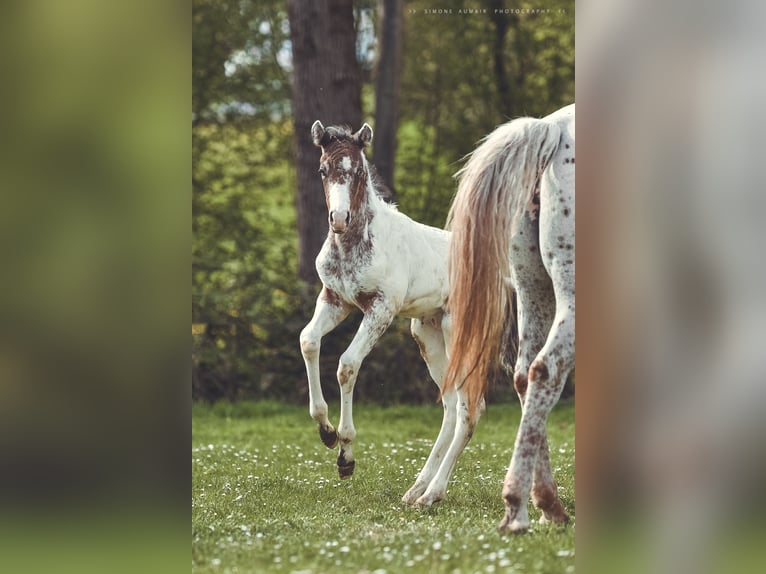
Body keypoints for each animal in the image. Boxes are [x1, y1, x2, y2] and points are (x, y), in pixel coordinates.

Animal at [299, 121, 480, 505]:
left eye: (358, 172)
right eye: (323, 170)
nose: (339, 219)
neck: (354, 244)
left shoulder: (380, 308)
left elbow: (347, 365)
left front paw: (345, 455)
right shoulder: (335, 300)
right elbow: (308, 341)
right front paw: (326, 431)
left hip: (459, 333)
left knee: (470, 409)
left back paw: (433, 495)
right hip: (426, 334)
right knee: (450, 404)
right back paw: (417, 489)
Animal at [442, 103, 575, 533]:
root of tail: (551, 129)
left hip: (534, 287)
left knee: (524, 374)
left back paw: (548, 504)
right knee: (546, 369)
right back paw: (518, 507)